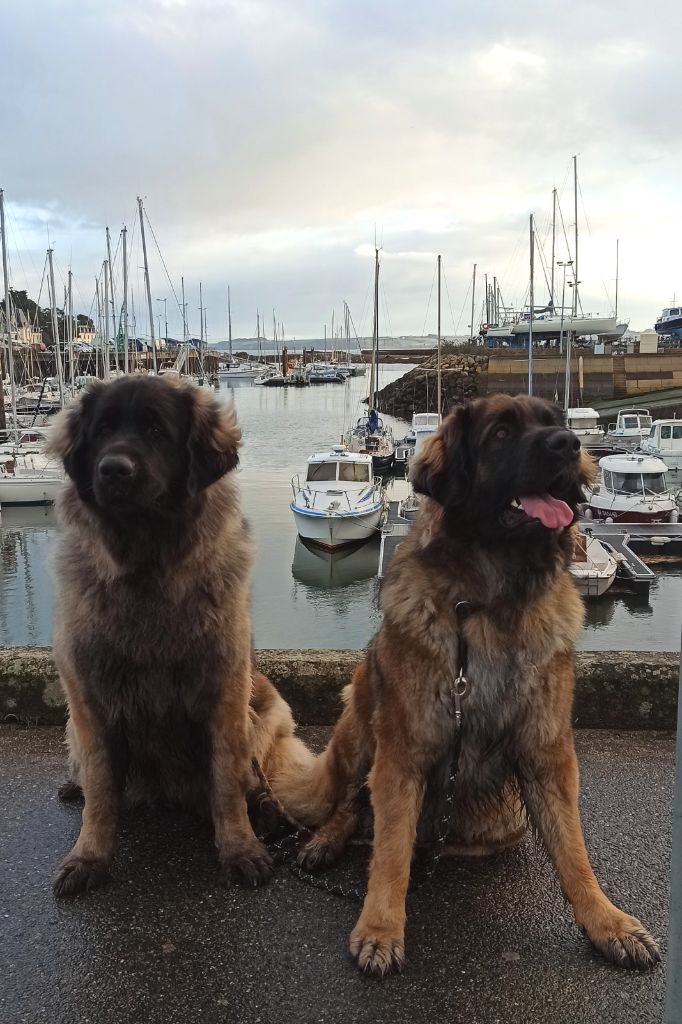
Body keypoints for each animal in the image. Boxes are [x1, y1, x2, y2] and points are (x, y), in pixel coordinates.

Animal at [47, 376, 311, 897]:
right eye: (102, 430)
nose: (114, 470)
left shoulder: (224, 692)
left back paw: (267, 815)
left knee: (254, 780)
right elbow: (101, 792)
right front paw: (89, 857)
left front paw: (240, 849)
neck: (148, 569)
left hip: (265, 712)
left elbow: (227, 784)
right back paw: (72, 785)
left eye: (156, 430)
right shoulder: (89, 698)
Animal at [280, 391, 659, 974]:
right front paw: (380, 927)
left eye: (554, 422)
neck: (490, 600)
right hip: (358, 732)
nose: (570, 443)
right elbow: (389, 849)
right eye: (501, 433)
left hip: (503, 818)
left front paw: (607, 923)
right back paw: (328, 841)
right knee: (352, 805)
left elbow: (573, 850)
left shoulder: (547, 750)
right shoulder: (404, 747)